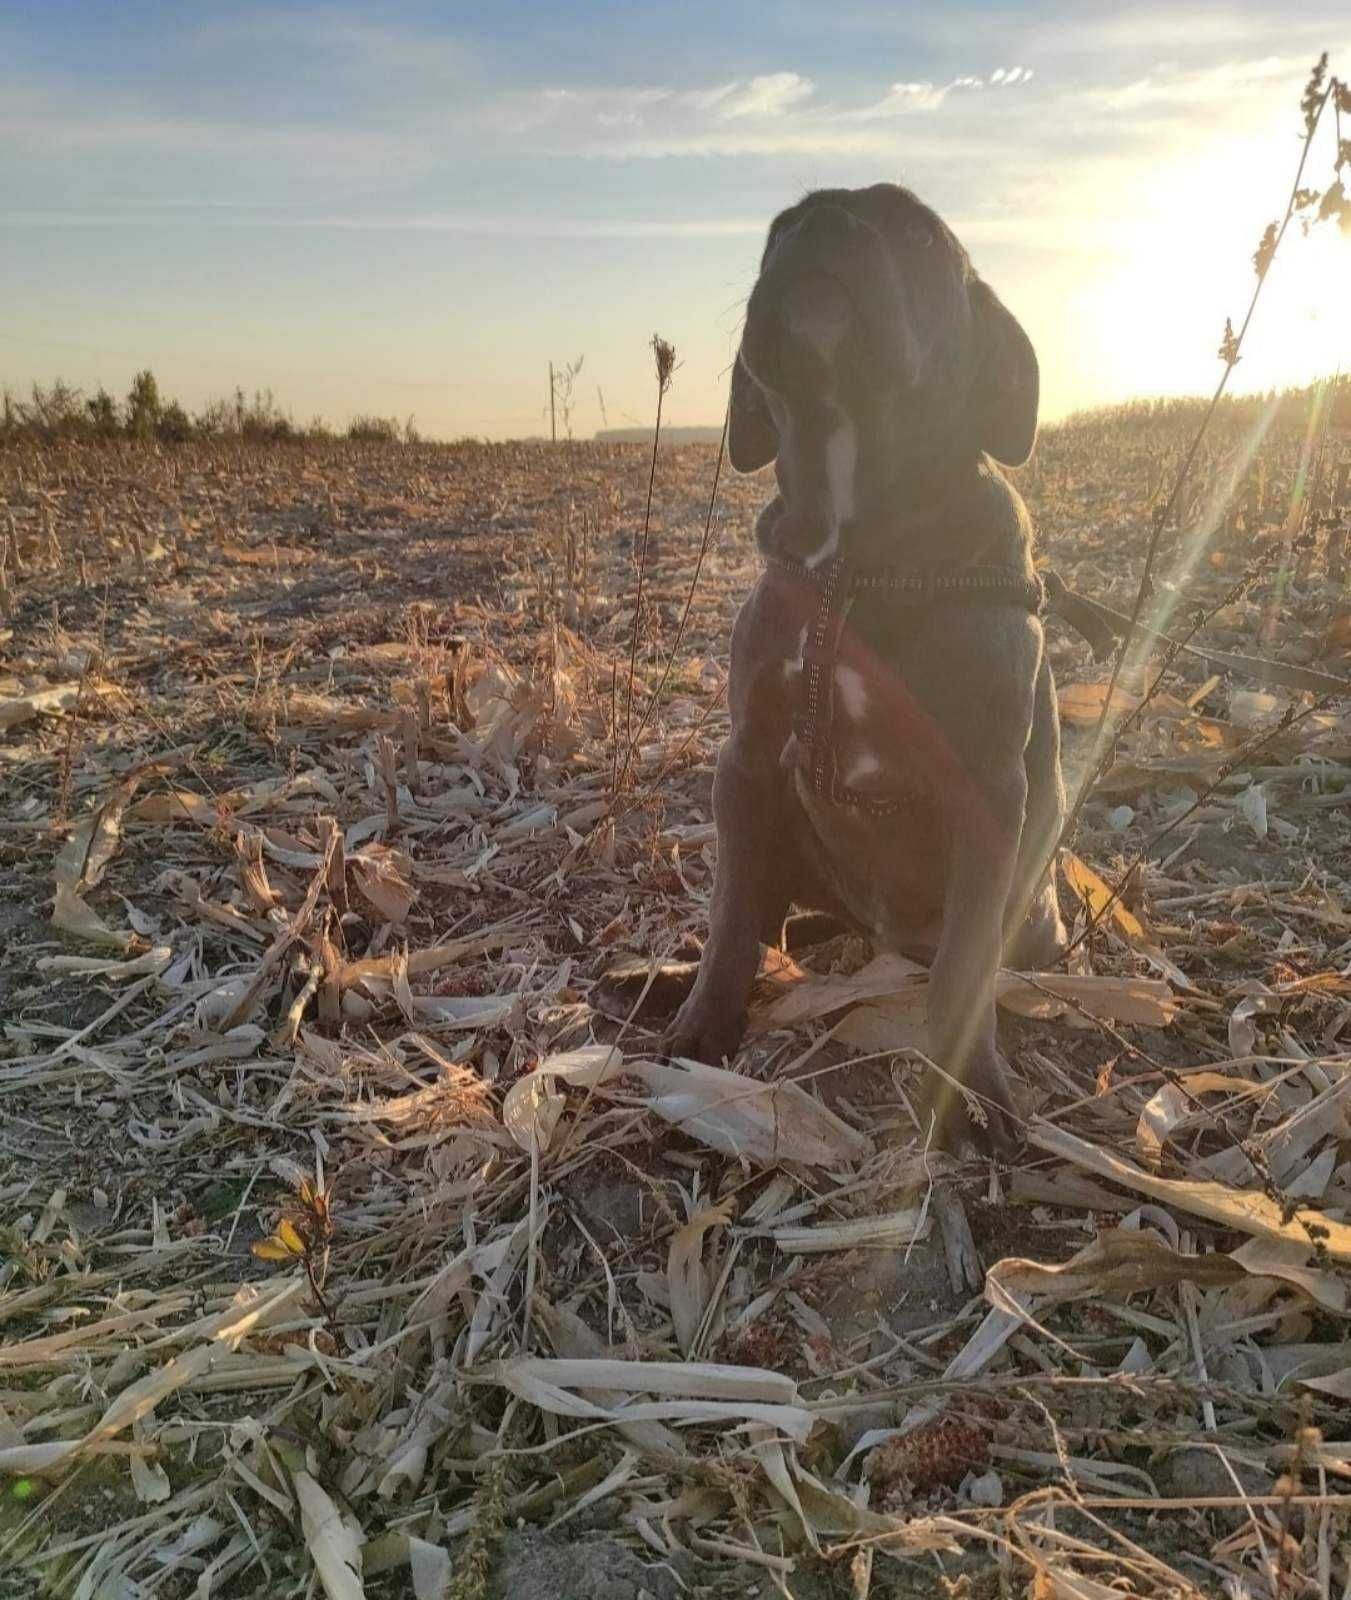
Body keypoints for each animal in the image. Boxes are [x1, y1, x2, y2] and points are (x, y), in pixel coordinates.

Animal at [665, 181, 1062, 1145]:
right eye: (776, 230)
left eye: (917, 232)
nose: (821, 224)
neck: (856, 546)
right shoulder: (744, 763)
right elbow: (730, 916)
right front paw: (703, 1023)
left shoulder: (987, 790)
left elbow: (962, 969)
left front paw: (974, 1089)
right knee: (767, 904)